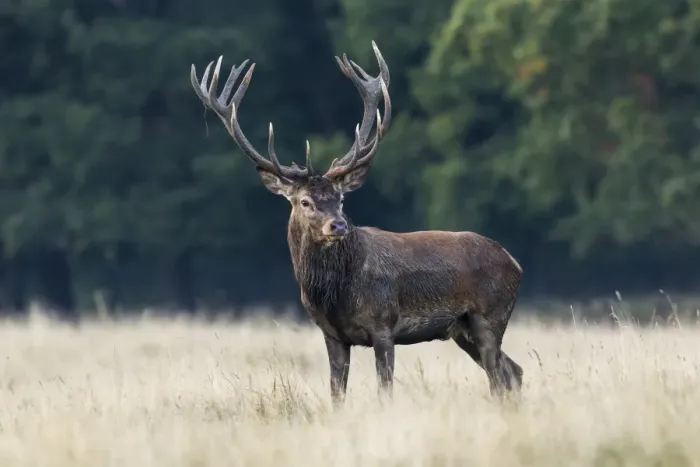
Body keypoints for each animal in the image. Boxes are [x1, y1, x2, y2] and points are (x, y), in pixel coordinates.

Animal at [190, 41, 524, 406]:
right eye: (305, 202)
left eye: (340, 199)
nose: (338, 226)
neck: (334, 294)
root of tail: (514, 262)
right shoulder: (331, 334)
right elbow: (336, 393)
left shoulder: (384, 324)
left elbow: (385, 389)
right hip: (461, 329)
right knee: (513, 371)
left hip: (490, 315)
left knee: (500, 375)